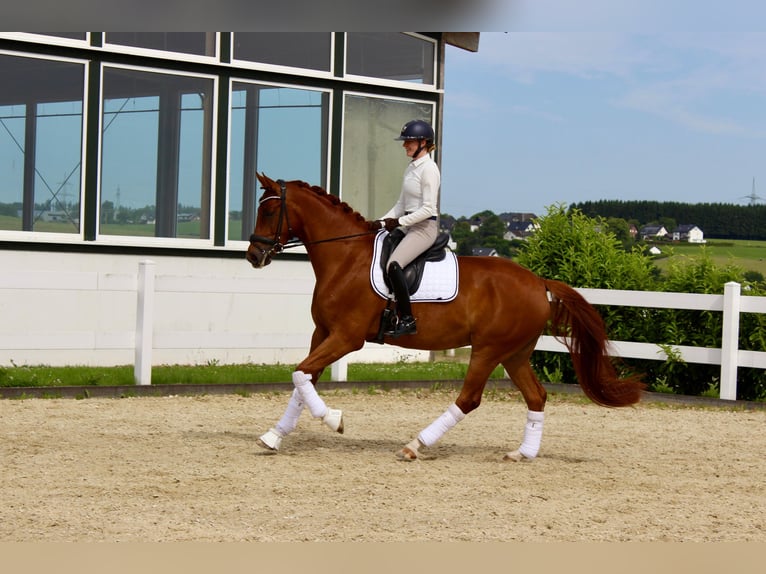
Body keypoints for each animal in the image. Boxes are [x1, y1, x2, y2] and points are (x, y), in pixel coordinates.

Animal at [246, 173, 645, 461]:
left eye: (269, 212)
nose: (253, 255)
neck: (345, 258)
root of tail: (537, 281)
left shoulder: (346, 337)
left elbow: (301, 374)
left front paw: (335, 420)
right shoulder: (323, 332)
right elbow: (303, 379)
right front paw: (273, 436)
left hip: (487, 350)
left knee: (469, 399)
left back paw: (415, 446)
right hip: (515, 353)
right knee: (536, 396)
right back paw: (522, 453)